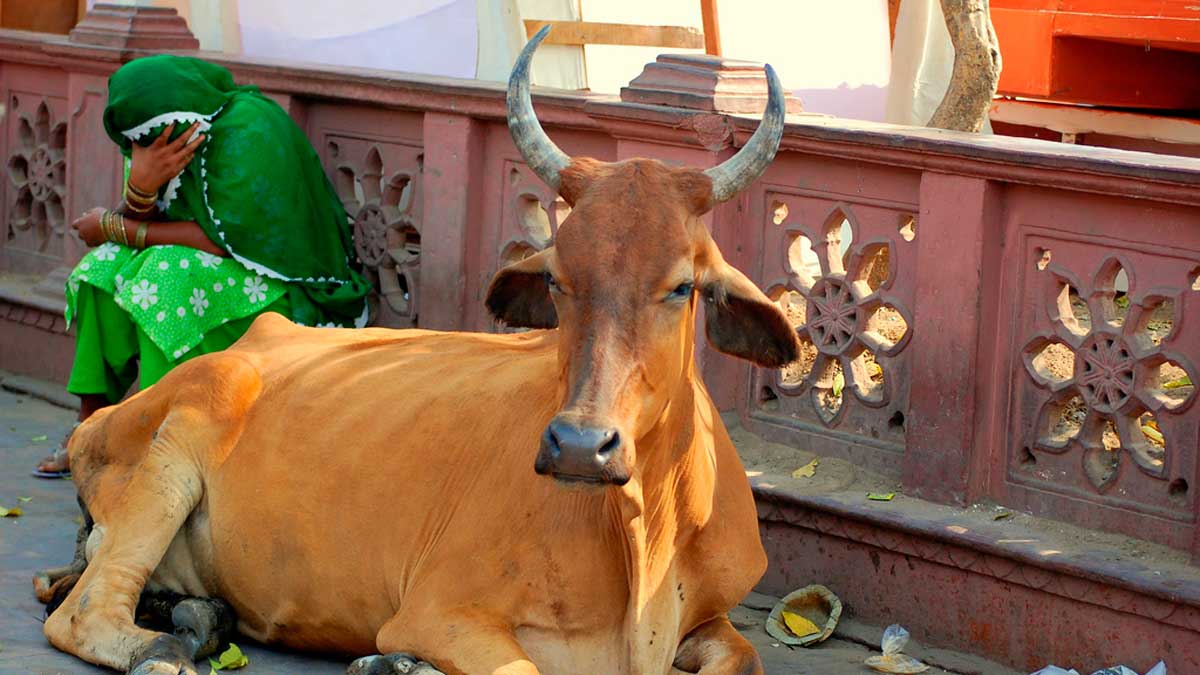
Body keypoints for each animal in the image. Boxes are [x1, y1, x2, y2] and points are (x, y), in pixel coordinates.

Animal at [36, 26, 797, 675]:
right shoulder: (441, 612)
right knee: (81, 612)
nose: (581, 446)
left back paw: (200, 617)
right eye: (556, 277)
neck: (643, 532)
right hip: (172, 450)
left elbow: (742, 658)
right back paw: (165, 645)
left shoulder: (713, 621)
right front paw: (394, 660)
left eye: (682, 286)